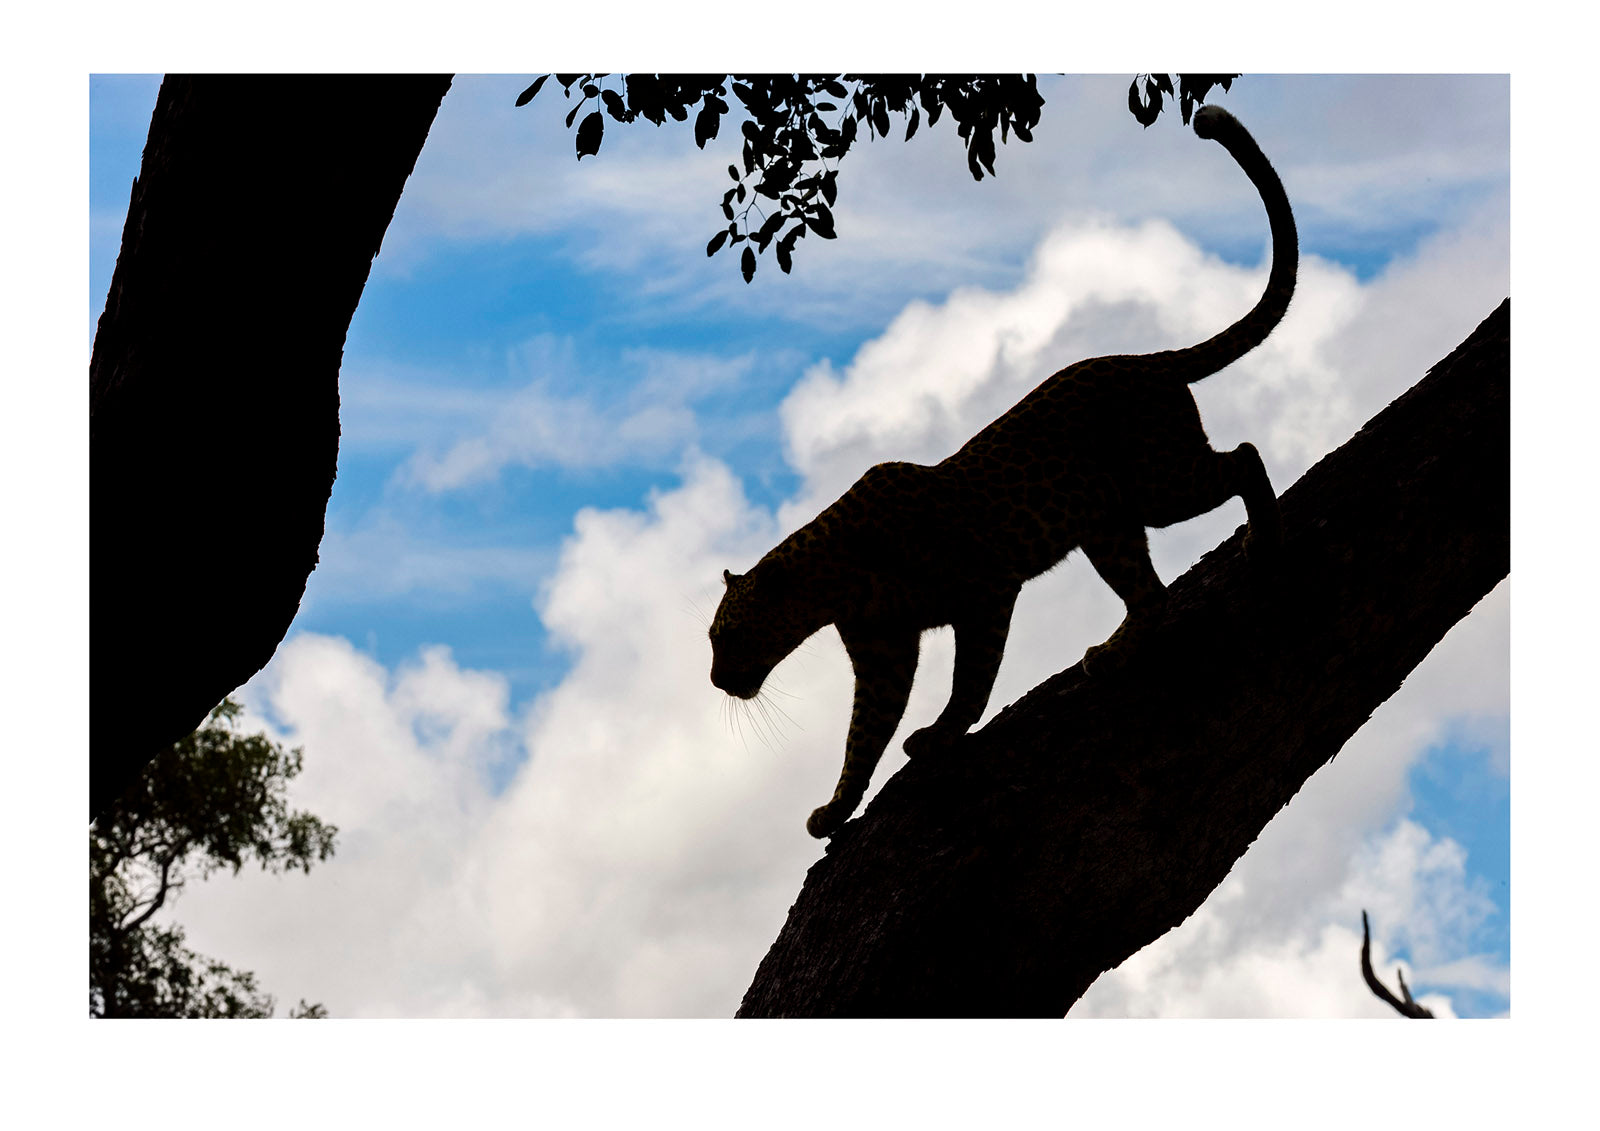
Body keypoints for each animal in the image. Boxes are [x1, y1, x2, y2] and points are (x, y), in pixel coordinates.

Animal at [707, 106, 1292, 838]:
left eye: (728, 636)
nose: (715, 680)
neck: (831, 582)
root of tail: (1146, 359)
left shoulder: (983, 590)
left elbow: (971, 681)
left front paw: (939, 735)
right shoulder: (883, 654)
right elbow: (862, 736)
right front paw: (837, 807)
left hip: (1161, 482)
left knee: (1243, 455)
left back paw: (1263, 537)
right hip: (1108, 524)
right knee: (1150, 592)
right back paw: (1113, 650)